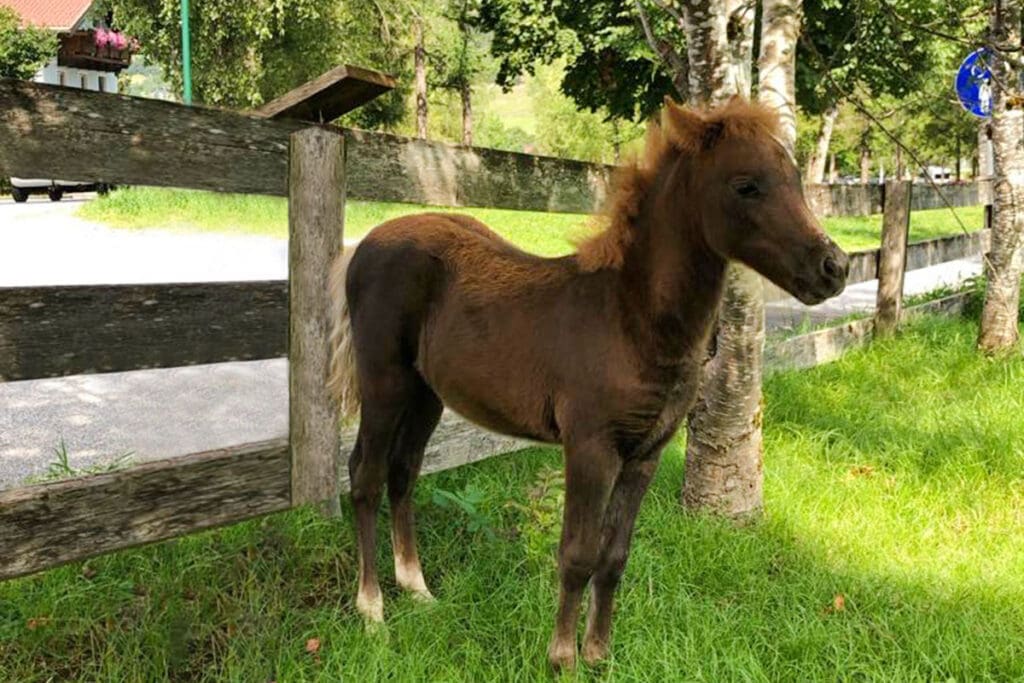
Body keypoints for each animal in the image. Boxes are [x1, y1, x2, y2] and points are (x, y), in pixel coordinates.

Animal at [327, 96, 847, 667]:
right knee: (366, 476)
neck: (630, 318)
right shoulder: (591, 448)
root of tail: (364, 243)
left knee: (404, 472)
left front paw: (599, 654)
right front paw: (563, 658)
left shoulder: (644, 455)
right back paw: (372, 611)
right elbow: (577, 553)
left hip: (427, 395)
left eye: (796, 178)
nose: (835, 267)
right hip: (384, 382)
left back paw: (418, 590)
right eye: (746, 185)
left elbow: (614, 556)